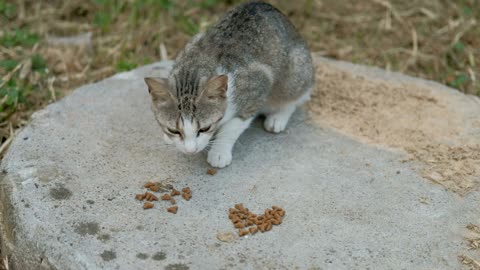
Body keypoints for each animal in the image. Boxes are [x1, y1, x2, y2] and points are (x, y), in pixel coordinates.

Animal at [144, 1, 314, 168]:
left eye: (204, 128)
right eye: (173, 130)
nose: (190, 150)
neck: (193, 71)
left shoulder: (258, 85)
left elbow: (231, 127)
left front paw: (219, 152)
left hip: (295, 72)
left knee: (296, 95)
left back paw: (278, 117)